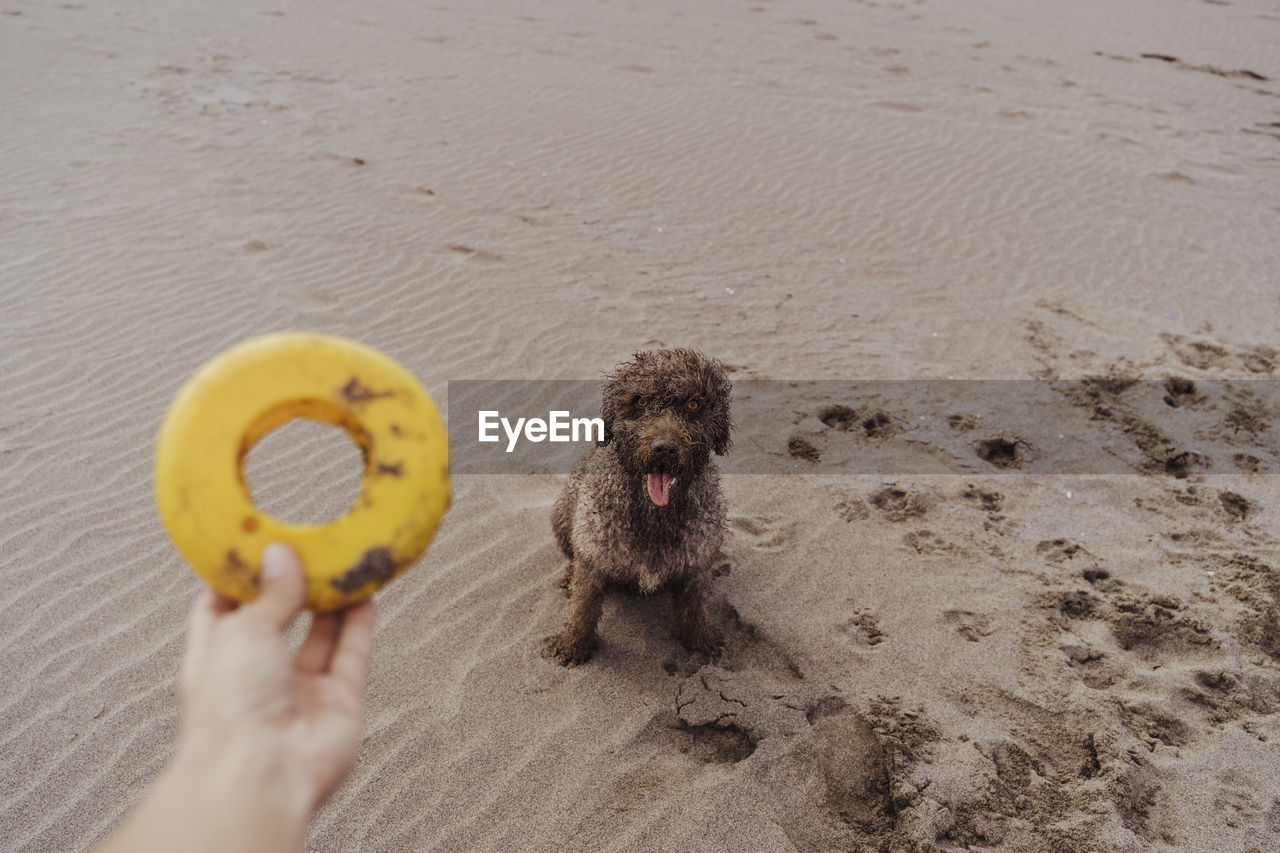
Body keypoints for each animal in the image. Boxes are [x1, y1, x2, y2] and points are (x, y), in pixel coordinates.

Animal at [545, 345, 737, 666]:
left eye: (694, 404)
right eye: (641, 401)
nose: (665, 448)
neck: (654, 513)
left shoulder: (695, 561)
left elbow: (695, 606)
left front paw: (700, 638)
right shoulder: (595, 553)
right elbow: (583, 605)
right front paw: (573, 642)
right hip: (561, 514)